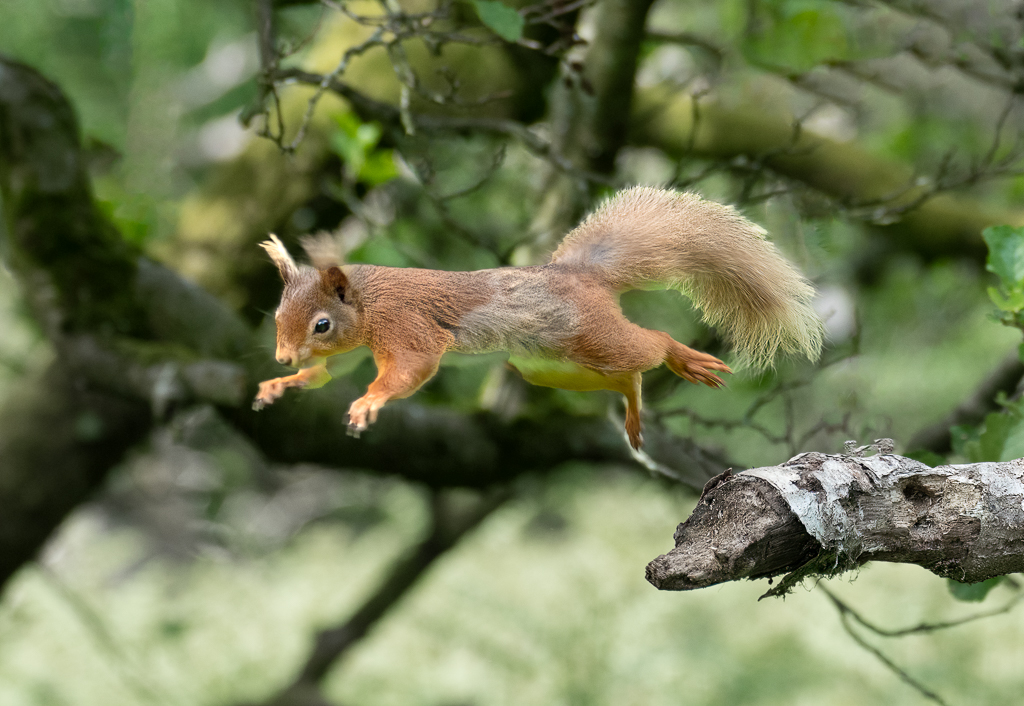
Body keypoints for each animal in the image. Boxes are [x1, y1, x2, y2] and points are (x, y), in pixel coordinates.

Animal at [253, 187, 823, 448]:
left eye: (322, 324)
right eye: (277, 314)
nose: (281, 356)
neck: (368, 303)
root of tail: (577, 274)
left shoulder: (407, 328)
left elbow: (410, 369)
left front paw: (369, 403)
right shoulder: (352, 352)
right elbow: (326, 373)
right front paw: (279, 385)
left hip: (591, 335)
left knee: (652, 343)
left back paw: (684, 359)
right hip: (550, 367)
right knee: (627, 378)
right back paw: (632, 406)